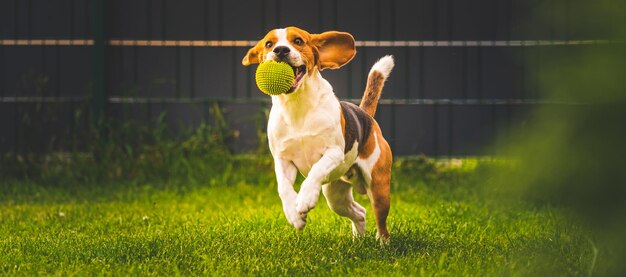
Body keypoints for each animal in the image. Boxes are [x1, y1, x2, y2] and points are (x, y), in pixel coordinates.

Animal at [241, 27, 392, 240]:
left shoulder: (333, 153)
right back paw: (359, 240)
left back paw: (382, 242)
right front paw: (294, 215)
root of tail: (366, 115)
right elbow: (283, 187)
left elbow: (316, 170)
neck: (297, 105)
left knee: (381, 221)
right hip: (336, 196)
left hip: (378, 186)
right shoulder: (282, 160)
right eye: (269, 44)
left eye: (298, 41)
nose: (280, 50)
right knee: (360, 212)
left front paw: (305, 198)